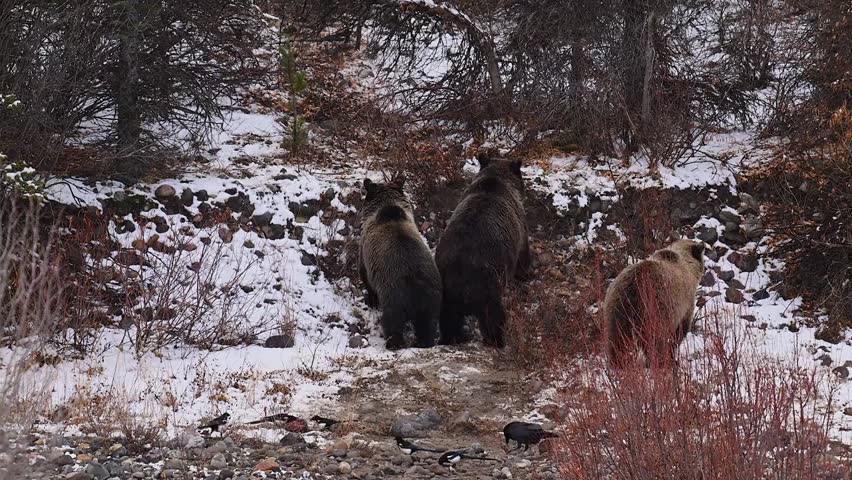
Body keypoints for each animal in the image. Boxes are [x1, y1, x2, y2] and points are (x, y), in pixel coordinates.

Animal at [359, 177, 441, 350]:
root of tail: (415, 285)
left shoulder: (364, 253)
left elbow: (365, 278)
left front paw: (371, 300)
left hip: (393, 292)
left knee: (392, 321)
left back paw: (392, 342)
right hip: (432, 297)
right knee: (427, 325)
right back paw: (424, 342)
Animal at [434, 153, 530, 348]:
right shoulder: (520, 228)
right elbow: (523, 257)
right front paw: (526, 273)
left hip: (445, 285)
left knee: (448, 319)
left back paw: (451, 338)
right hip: (489, 279)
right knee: (493, 314)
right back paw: (497, 340)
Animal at [603, 239, 706, 368]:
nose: (703, 244)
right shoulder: (684, 302)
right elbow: (678, 332)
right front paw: (672, 356)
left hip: (614, 311)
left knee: (617, 342)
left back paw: (619, 365)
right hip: (654, 309)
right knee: (655, 340)